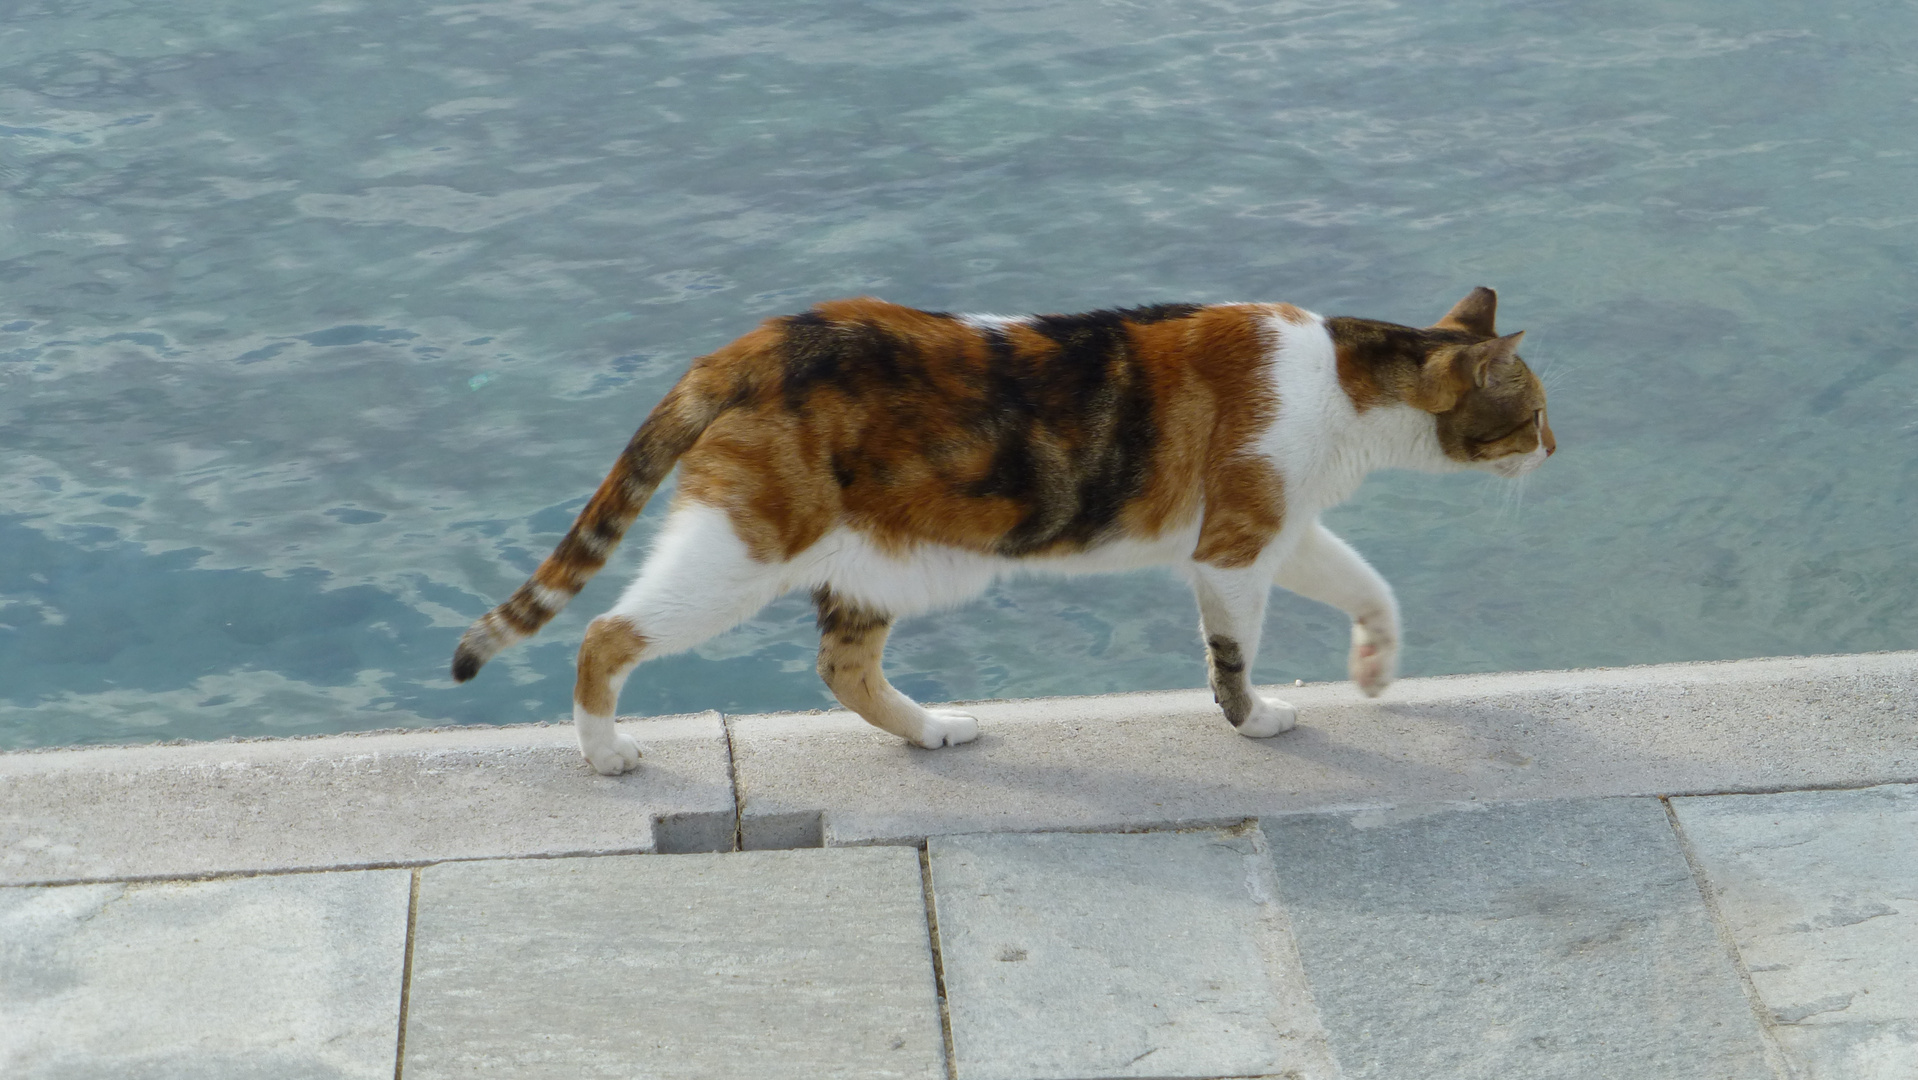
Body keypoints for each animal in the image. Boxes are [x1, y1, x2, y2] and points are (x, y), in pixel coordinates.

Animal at [456, 287, 1549, 778]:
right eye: (1534, 411)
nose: (1555, 447)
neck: (1345, 382)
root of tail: (764, 338)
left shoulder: (1284, 529)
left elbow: (1372, 586)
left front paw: (1374, 666)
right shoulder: (1236, 546)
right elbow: (1234, 653)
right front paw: (1255, 719)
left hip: (878, 567)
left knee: (843, 669)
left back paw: (933, 728)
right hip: (740, 556)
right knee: (606, 636)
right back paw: (604, 750)